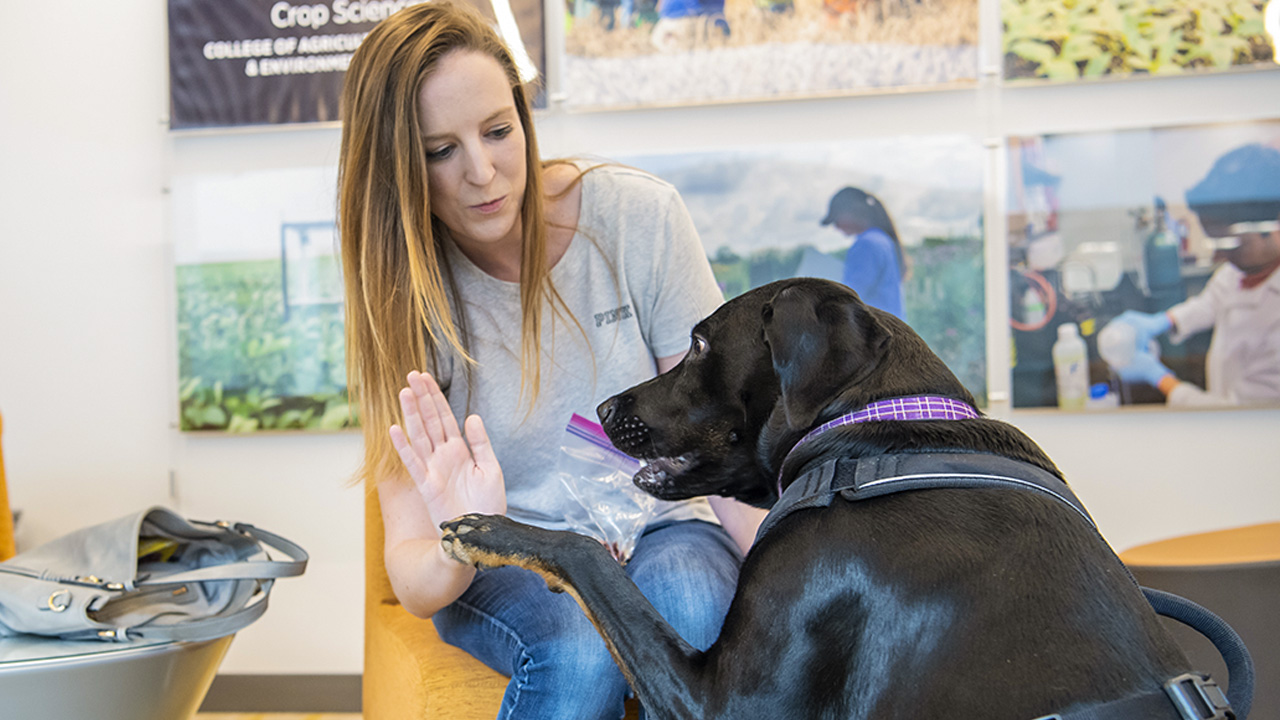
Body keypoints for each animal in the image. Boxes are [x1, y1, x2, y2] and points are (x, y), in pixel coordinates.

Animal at [442, 278, 1198, 712]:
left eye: (698, 343)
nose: (601, 408)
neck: (874, 433)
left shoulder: (723, 704)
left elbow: (588, 557)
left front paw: (491, 531)